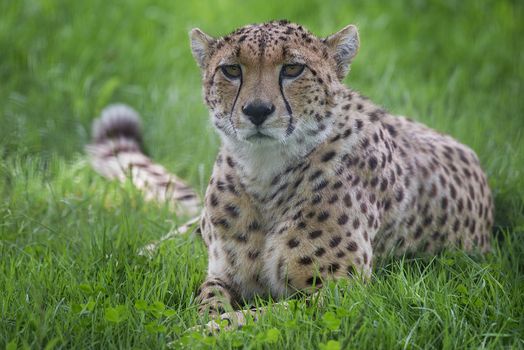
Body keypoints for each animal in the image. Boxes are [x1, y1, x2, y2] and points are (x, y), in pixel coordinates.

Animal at [86, 20, 492, 330]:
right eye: (231, 70)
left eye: (293, 69)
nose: (257, 110)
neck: (264, 171)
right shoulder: (222, 273)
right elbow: (208, 296)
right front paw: (201, 319)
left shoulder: (341, 293)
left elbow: (263, 315)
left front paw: (203, 333)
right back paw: (130, 256)